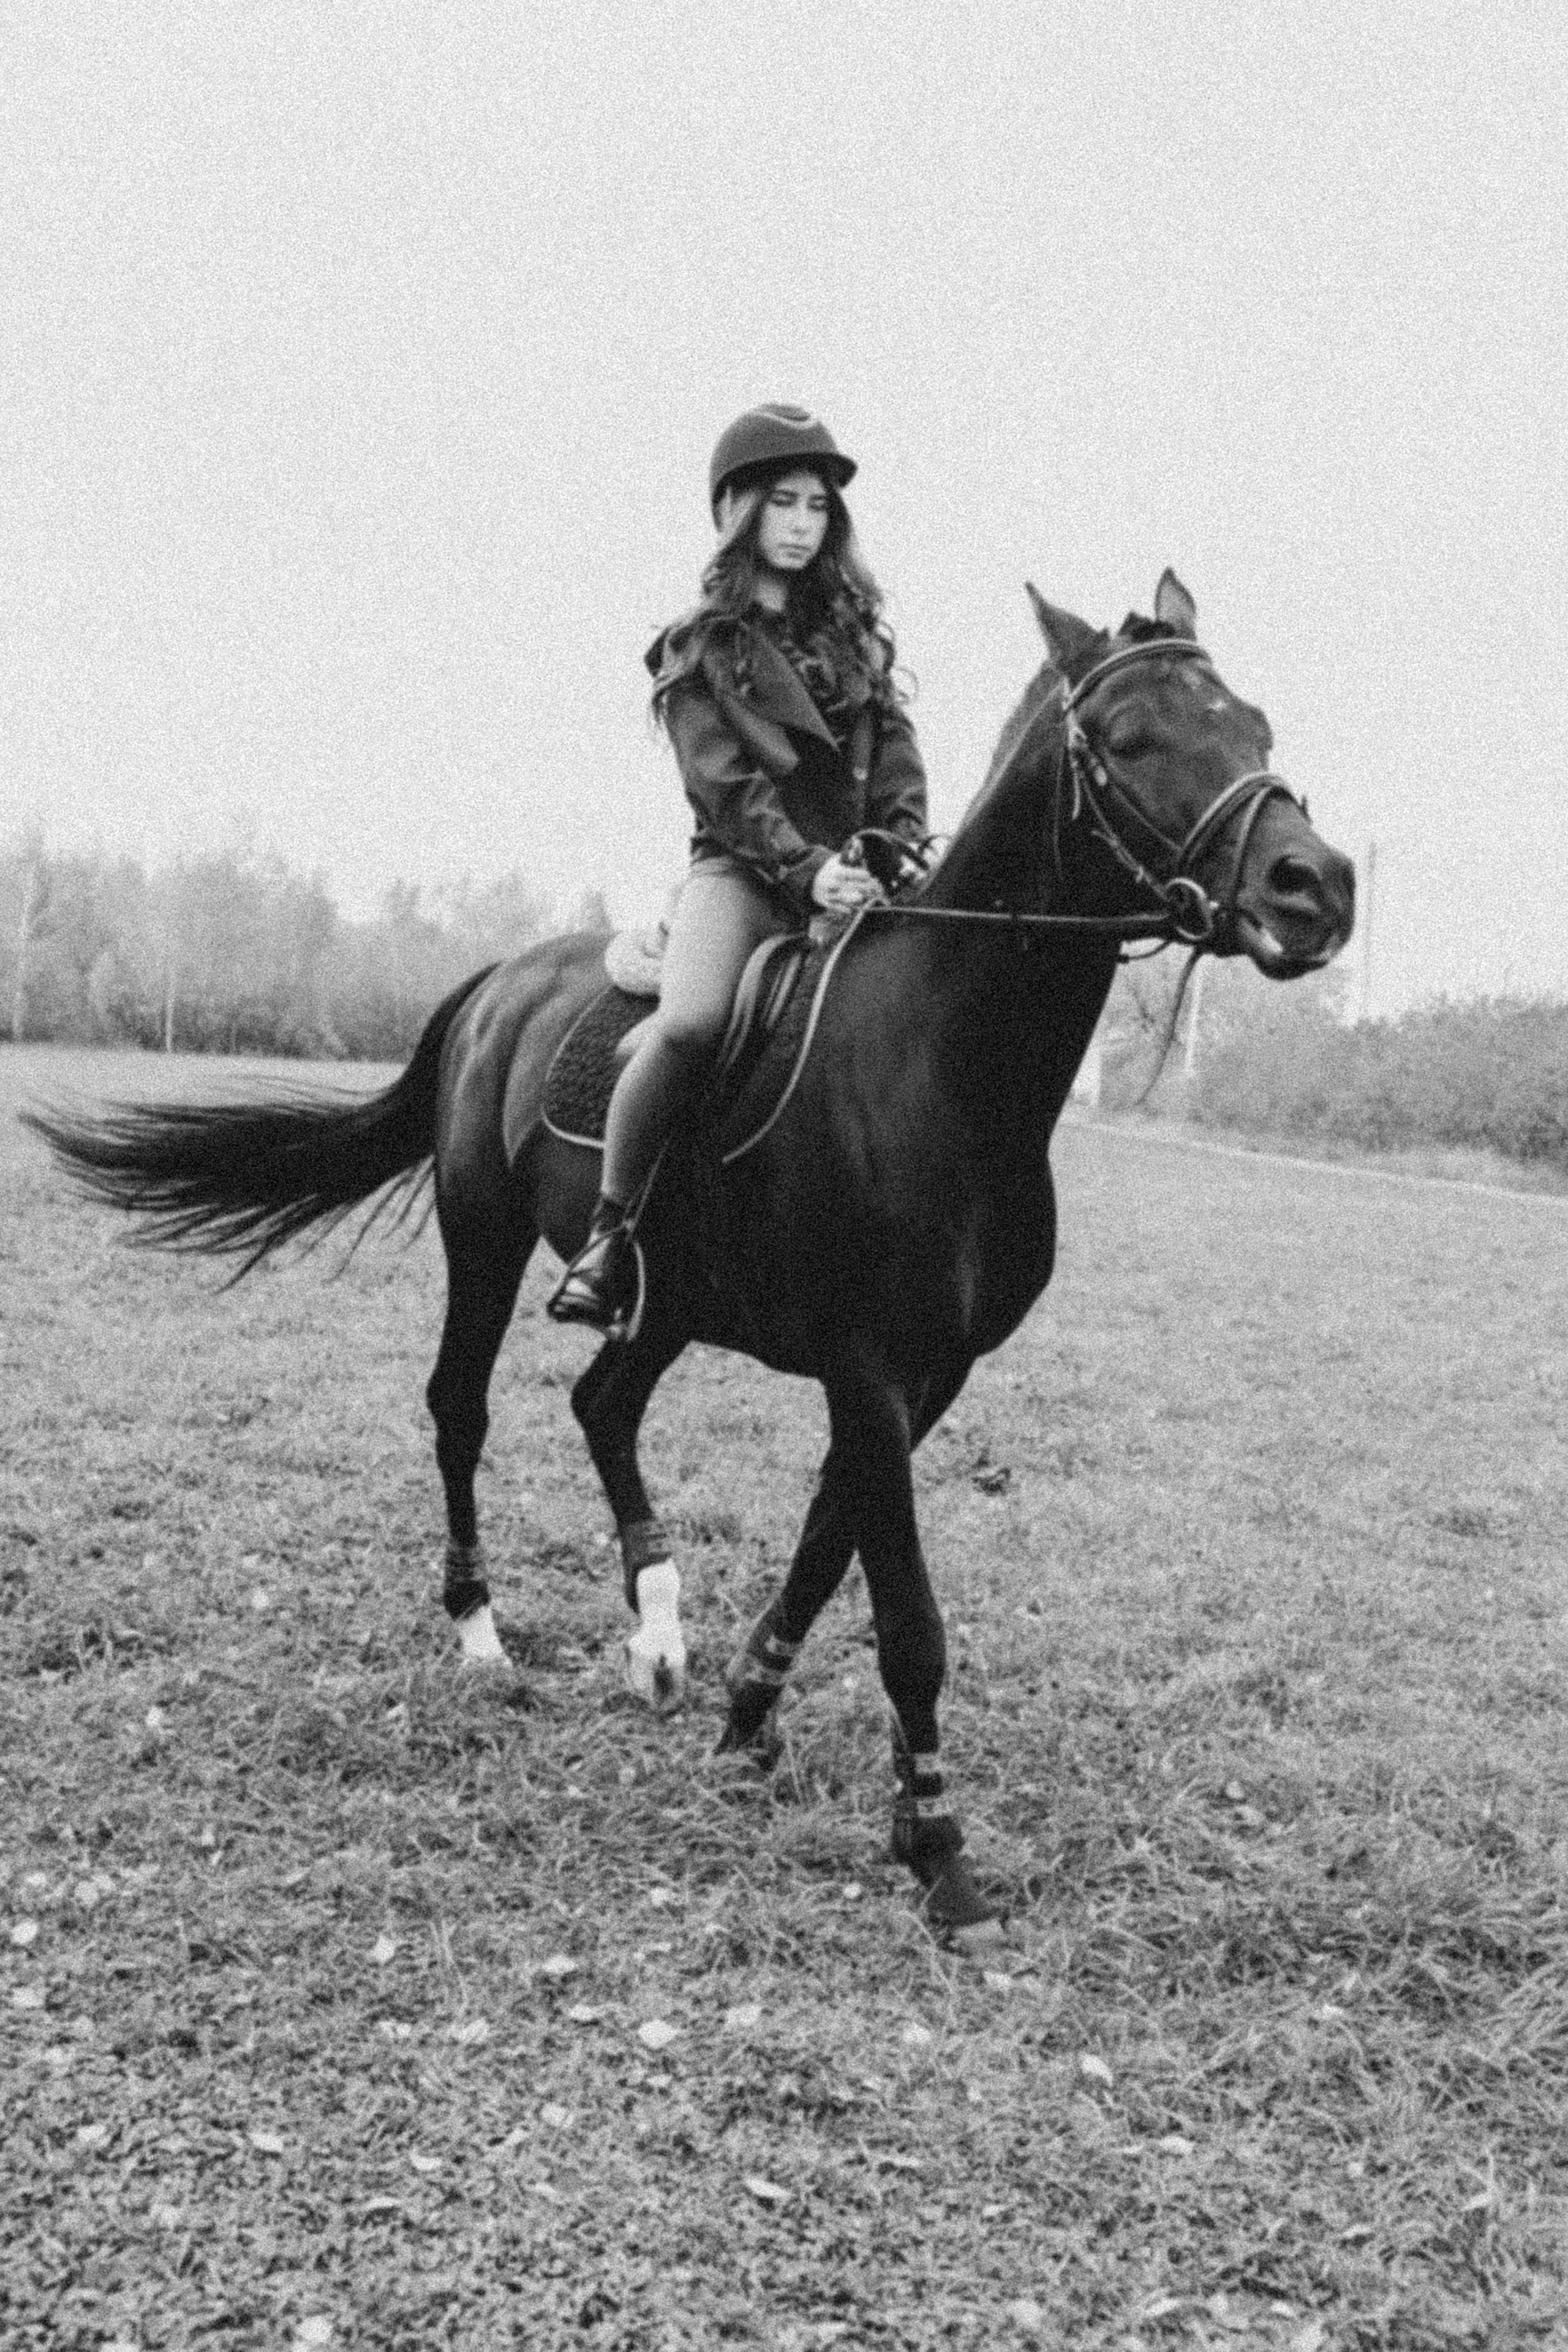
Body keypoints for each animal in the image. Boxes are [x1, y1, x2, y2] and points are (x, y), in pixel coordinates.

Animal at [26, 571, 1354, 1933]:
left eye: (1254, 725)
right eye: (1132, 740)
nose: (1316, 888)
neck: (941, 1061)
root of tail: (499, 982)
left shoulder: (925, 1378)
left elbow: (826, 1548)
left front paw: (747, 1716)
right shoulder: (871, 1372)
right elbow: (906, 1615)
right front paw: (937, 1847)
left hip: (661, 1300)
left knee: (602, 1405)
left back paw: (656, 1632)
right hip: (485, 1237)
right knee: (462, 1407)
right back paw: (482, 1632)